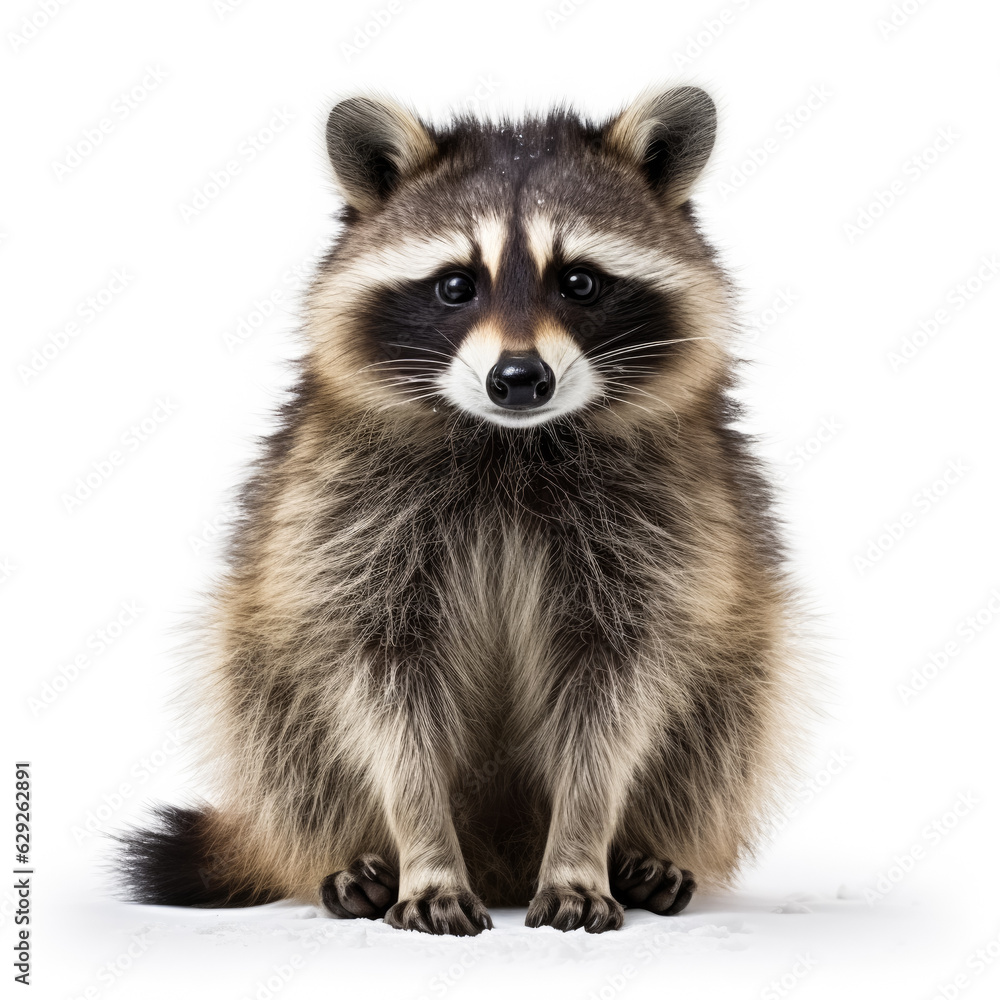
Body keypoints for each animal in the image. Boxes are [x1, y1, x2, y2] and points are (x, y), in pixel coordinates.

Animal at [115, 86, 805, 936]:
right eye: (455, 285)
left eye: (579, 282)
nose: (520, 378)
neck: (510, 443)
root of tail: (502, 862)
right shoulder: (347, 519)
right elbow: (384, 695)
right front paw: (424, 853)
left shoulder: (666, 523)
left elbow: (615, 700)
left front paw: (582, 848)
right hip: (260, 665)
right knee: (282, 737)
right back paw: (352, 861)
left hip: (738, 667)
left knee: (723, 724)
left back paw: (643, 854)